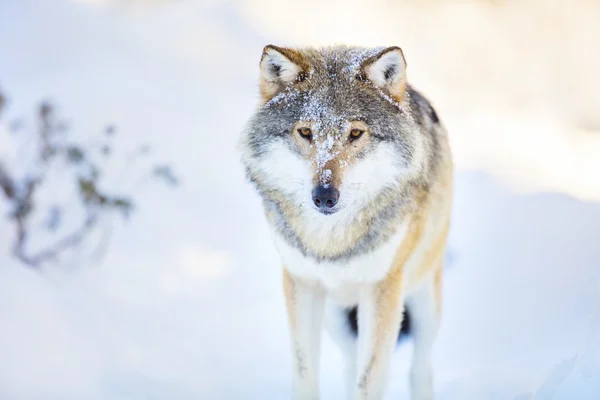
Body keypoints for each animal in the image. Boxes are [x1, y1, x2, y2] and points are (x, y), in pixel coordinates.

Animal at [238, 43, 450, 400]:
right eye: (305, 132)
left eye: (355, 133)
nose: (324, 196)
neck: (331, 243)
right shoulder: (302, 282)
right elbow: (306, 371)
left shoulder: (383, 289)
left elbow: (370, 379)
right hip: (337, 316)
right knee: (350, 365)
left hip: (423, 304)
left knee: (421, 368)